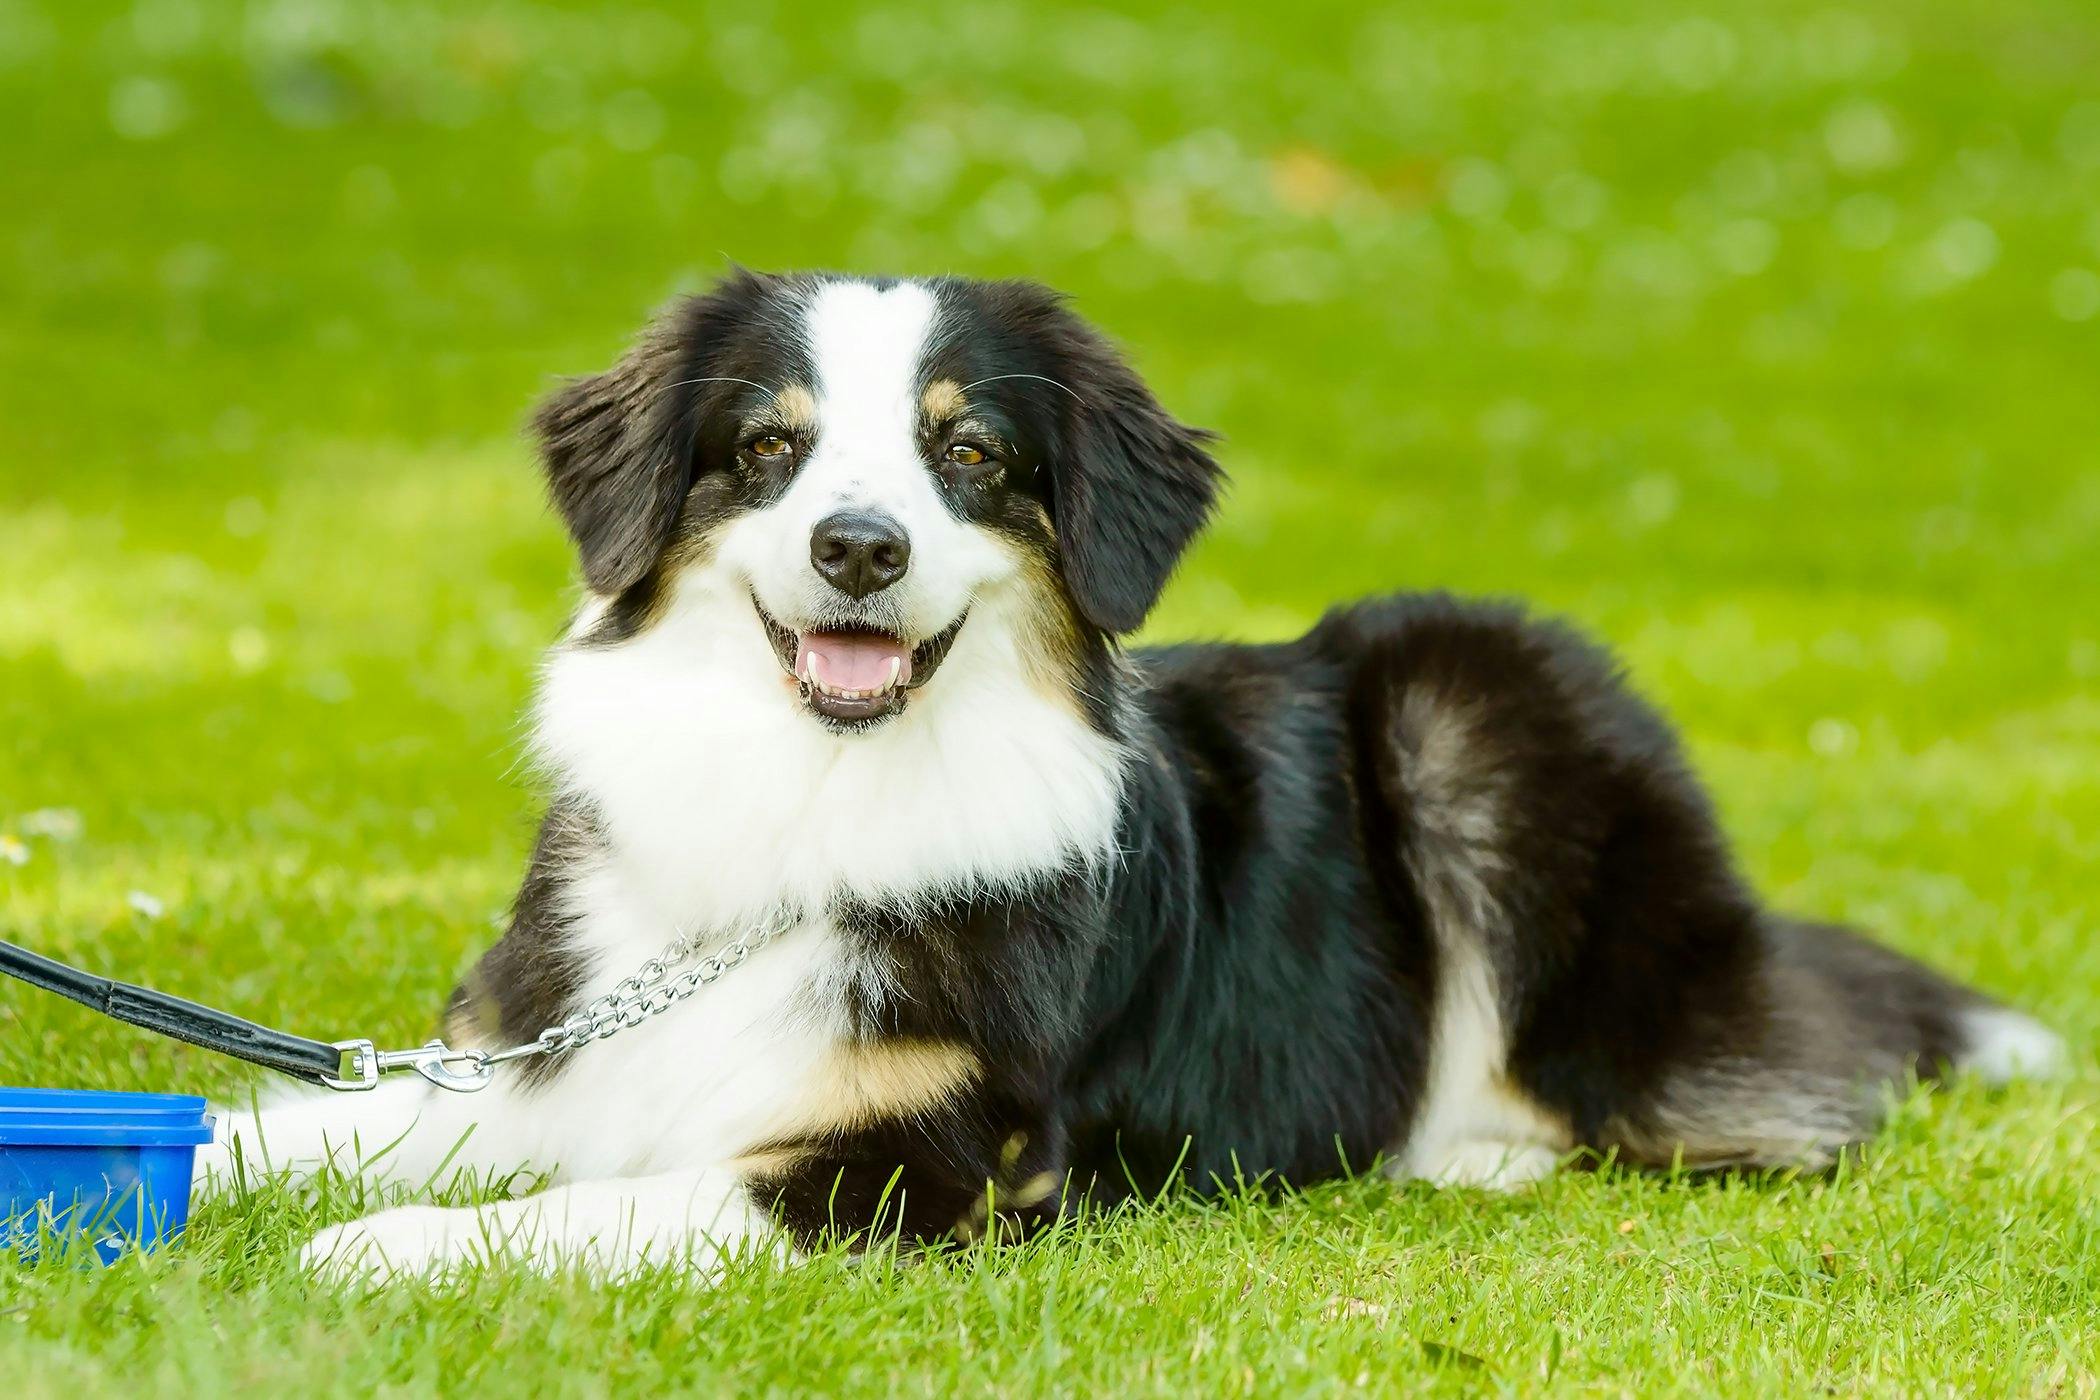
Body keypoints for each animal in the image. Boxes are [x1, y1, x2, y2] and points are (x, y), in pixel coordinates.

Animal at [204, 270, 2058, 1284]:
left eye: (969, 452)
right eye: (769, 447)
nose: (859, 549)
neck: (807, 807)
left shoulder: (930, 1165)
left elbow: (578, 1212)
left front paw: (363, 1260)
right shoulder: (532, 1064)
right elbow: (274, 1125)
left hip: (1480, 698)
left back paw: (1469, 1148)